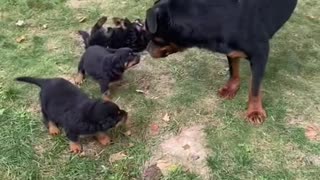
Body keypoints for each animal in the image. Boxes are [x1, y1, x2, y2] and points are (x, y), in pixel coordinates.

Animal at [145, 0, 298, 124]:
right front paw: (231, 88)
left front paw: (254, 111)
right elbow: (233, 70)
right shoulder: (229, 48)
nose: (147, 49)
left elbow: (254, 87)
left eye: (154, 37)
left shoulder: (260, 53)